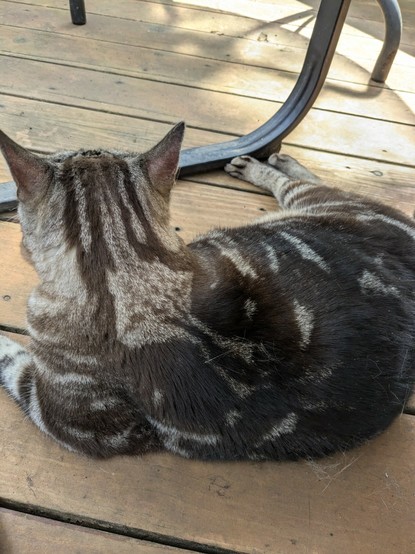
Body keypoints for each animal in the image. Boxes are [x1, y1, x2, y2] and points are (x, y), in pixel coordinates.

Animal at [0, 123, 415, 460]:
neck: (118, 264)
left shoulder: (65, 416)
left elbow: (11, 360)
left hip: (317, 202)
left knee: (304, 183)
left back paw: (266, 164)